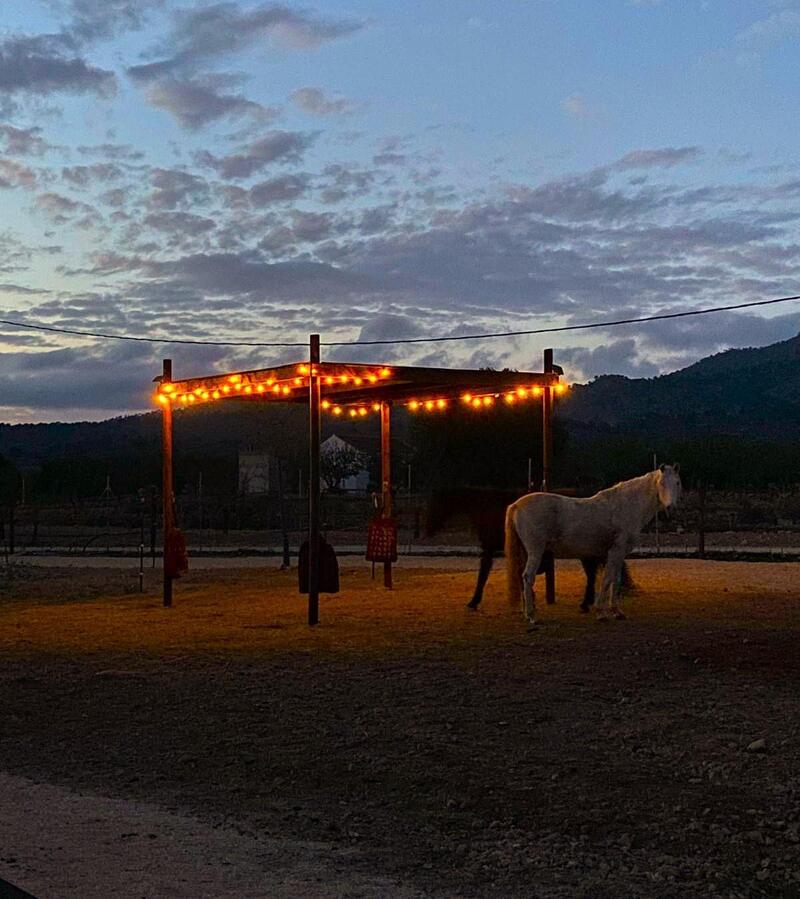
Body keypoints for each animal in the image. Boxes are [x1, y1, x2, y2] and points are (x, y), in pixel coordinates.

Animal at [424, 492, 632, 612]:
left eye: (437, 503)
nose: (428, 531)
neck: (488, 511)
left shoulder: (489, 551)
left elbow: (483, 575)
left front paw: (474, 601)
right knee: (593, 573)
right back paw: (589, 602)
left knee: (592, 574)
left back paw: (587, 603)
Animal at [506, 468, 680, 624]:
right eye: (661, 483)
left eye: (678, 483)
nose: (671, 508)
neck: (624, 506)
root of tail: (516, 505)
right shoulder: (615, 552)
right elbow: (607, 579)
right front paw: (601, 613)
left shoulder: (618, 555)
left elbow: (616, 580)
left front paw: (617, 612)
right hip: (535, 551)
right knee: (528, 577)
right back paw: (532, 616)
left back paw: (526, 613)